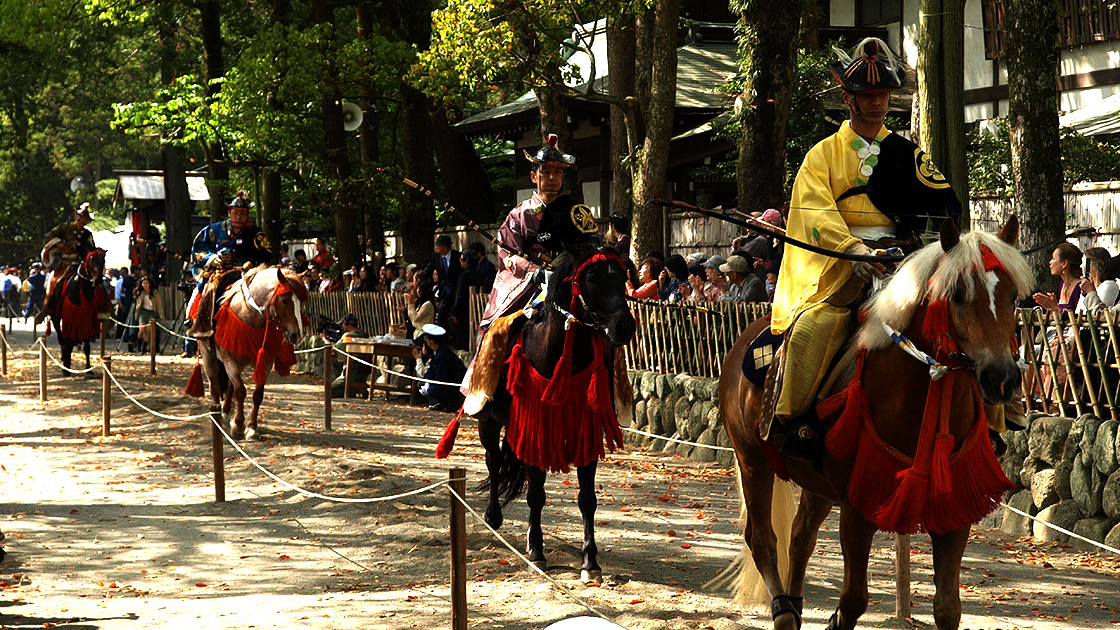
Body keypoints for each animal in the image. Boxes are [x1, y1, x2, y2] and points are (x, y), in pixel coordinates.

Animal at [189, 262, 309, 439]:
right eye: (285, 300)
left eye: (301, 301)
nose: (296, 335)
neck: (250, 316)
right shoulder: (230, 360)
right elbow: (240, 391)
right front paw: (238, 426)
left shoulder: (265, 362)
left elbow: (257, 394)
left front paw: (252, 428)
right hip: (207, 353)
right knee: (215, 384)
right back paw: (217, 417)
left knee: (229, 385)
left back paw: (225, 414)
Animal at [465, 243, 636, 582]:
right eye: (592, 277)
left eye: (623, 276)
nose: (624, 325)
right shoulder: (535, 427)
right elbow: (536, 494)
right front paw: (536, 552)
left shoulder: (585, 432)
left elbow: (587, 499)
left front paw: (590, 561)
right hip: (487, 417)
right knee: (493, 460)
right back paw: (493, 515)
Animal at [721, 215, 1034, 627]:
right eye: (958, 295)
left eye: (1013, 297)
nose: (1002, 378)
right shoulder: (857, 507)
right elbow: (854, 600)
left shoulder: (954, 511)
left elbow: (948, 607)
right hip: (752, 460)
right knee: (762, 540)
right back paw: (784, 612)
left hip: (816, 482)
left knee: (801, 536)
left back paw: (796, 603)